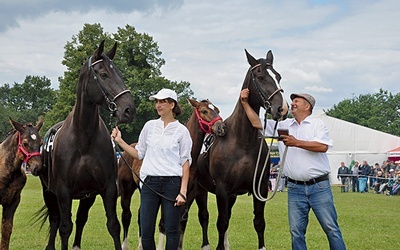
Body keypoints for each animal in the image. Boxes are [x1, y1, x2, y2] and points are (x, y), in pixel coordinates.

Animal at [39, 40, 136, 249]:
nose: (129, 110)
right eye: (104, 74)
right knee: (55, 219)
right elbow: (65, 228)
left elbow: (113, 225)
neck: (83, 140)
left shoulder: (107, 188)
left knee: (81, 218)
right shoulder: (63, 191)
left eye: (120, 74)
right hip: (49, 192)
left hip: (87, 196)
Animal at [197, 49, 288, 249]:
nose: (282, 109)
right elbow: (221, 222)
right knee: (204, 216)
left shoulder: (260, 188)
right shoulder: (222, 190)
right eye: (260, 76)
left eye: (278, 76)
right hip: (199, 189)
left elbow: (259, 222)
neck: (242, 143)